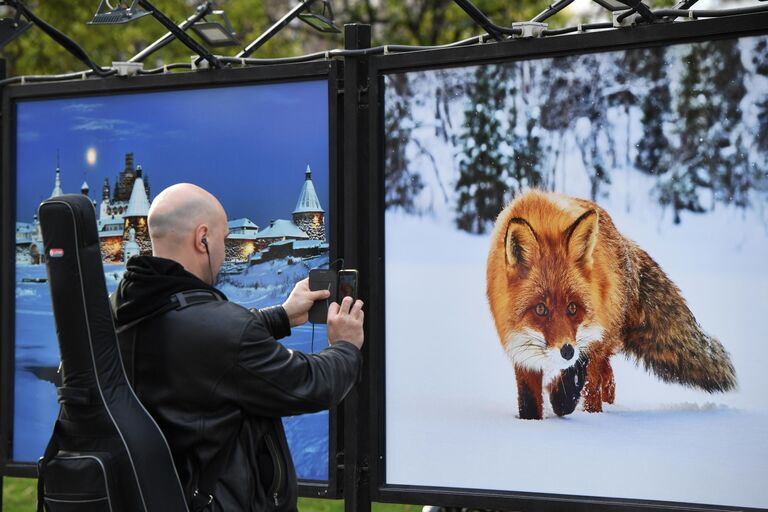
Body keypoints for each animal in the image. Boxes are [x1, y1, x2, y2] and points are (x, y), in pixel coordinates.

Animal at [488, 190, 736, 418]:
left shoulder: (591, 335)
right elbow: (529, 402)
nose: (567, 351)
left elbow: (571, 386)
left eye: (572, 308)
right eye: (541, 309)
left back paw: (595, 413)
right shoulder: (520, 346)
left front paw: (558, 397)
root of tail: (624, 242)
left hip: (604, 335)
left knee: (594, 386)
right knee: (607, 377)